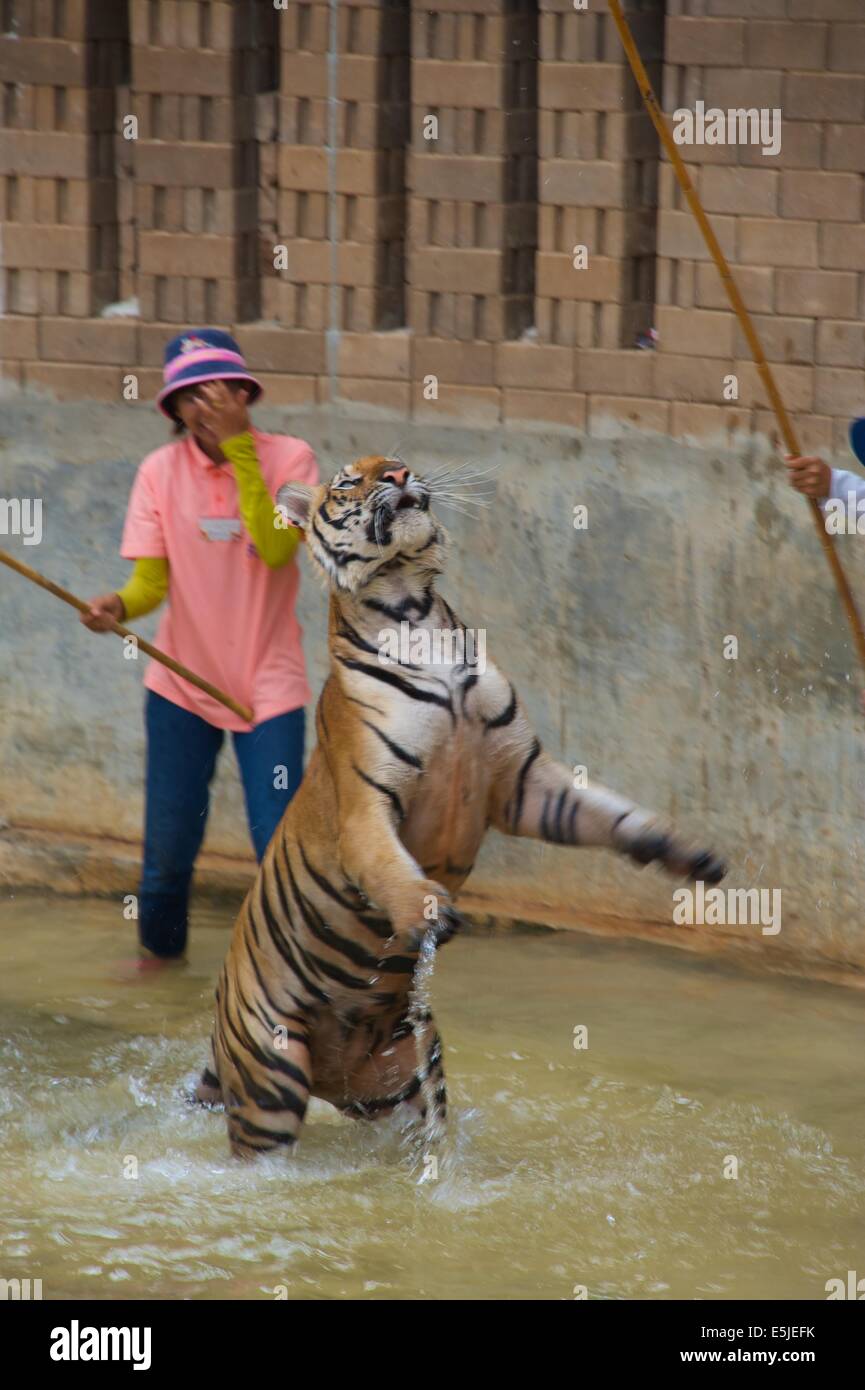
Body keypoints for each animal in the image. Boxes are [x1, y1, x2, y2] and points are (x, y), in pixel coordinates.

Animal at [194, 450, 723, 1156]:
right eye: (349, 481)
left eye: (391, 460)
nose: (397, 472)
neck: (415, 612)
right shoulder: (368, 807)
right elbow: (389, 865)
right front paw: (430, 910)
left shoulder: (526, 783)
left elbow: (608, 811)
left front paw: (687, 853)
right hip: (271, 1079)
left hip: (401, 1083)